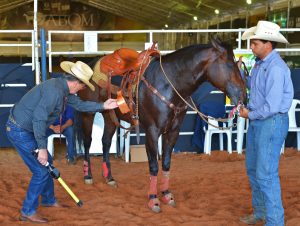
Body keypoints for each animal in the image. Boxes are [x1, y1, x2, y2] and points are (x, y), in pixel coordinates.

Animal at [75, 37, 246, 212]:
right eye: (230, 65)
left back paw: (109, 177)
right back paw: (88, 175)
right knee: (88, 142)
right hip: (88, 114)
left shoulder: (172, 132)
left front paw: (166, 194)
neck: (169, 84)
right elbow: (153, 166)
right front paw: (153, 199)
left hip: (110, 115)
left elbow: (166, 163)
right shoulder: (152, 132)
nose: (243, 96)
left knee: (106, 142)